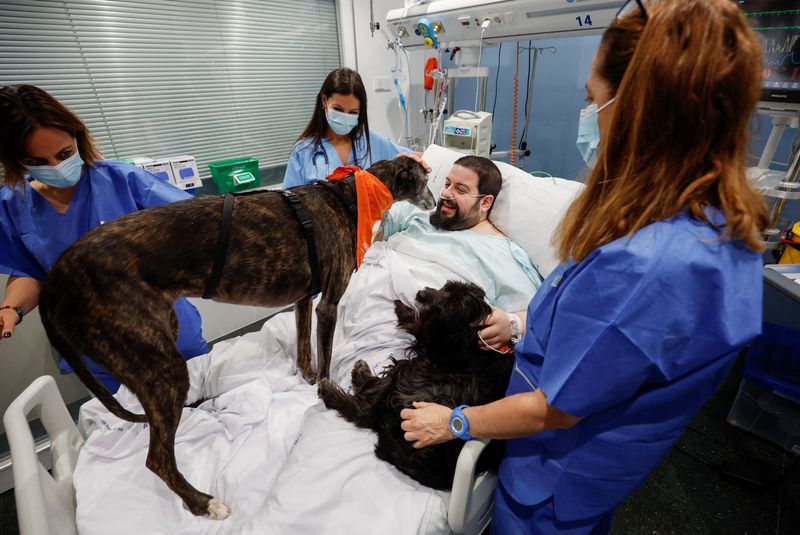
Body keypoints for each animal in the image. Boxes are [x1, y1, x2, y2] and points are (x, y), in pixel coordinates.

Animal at [318, 280, 512, 490]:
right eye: (447, 286)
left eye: (453, 306)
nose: (421, 293)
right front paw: (403, 308)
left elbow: (421, 329)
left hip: (405, 378)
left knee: (364, 412)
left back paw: (337, 386)